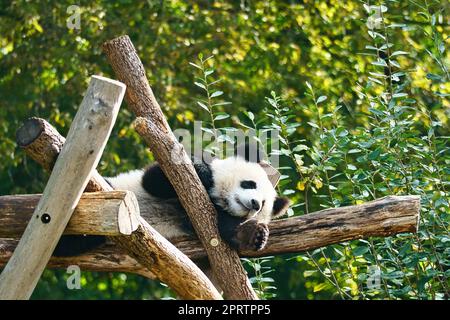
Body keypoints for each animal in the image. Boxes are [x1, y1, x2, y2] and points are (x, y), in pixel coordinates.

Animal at [53, 146, 292, 256]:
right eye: (249, 184)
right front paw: (205, 173)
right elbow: (157, 178)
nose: (254, 204)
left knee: (72, 244)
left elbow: (225, 228)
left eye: (263, 205)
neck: (218, 200)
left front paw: (253, 234)